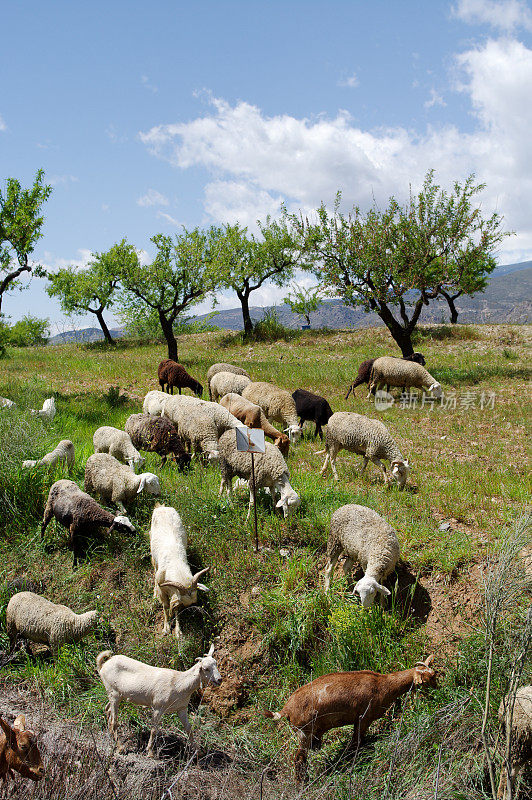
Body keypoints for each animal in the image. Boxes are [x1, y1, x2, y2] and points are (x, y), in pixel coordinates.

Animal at [150, 506, 210, 636]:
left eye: (194, 601)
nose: (193, 612)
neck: (175, 562)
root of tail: (161, 507)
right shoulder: (163, 589)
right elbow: (165, 606)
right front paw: (166, 627)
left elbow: (175, 608)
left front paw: (178, 631)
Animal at [266, 656, 436, 780]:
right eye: (428, 679)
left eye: (434, 674)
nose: (437, 690)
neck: (383, 685)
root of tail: (286, 709)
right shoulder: (363, 717)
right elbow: (356, 741)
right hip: (303, 733)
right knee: (299, 759)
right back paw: (302, 782)